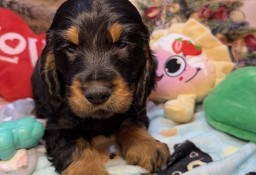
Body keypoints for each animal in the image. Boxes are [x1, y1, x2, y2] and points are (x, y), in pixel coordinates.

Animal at [32, 0, 170, 174]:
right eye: (71, 47)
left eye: (121, 44)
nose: (97, 94)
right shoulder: (58, 124)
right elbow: (75, 145)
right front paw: (89, 170)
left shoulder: (133, 104)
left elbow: (131, 123)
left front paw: (147, 146)